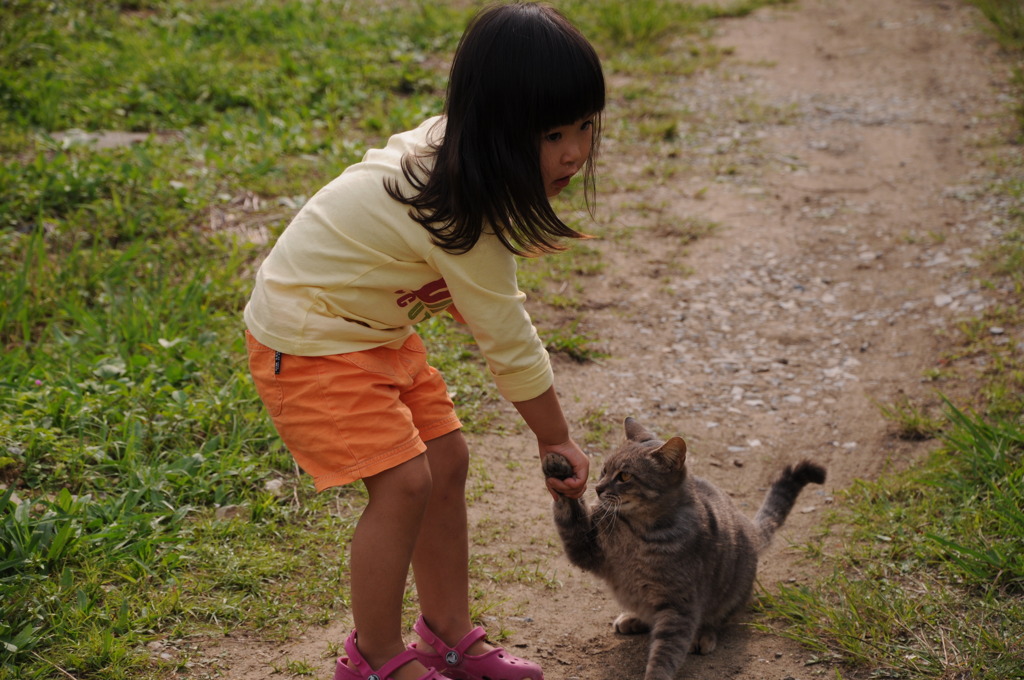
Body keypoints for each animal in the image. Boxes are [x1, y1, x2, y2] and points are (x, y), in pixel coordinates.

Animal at [544, 417, 823, 675]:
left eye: (624, 476)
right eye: (603, 469)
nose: (598, 488)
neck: (637, 531)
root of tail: (751, 530)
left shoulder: (679, 603)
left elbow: (665, 654)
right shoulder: (584, 548)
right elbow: (568, 510)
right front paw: (557, 467)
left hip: (730, 592)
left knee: (718, 619)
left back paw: (703, 635)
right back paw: (632, 618)